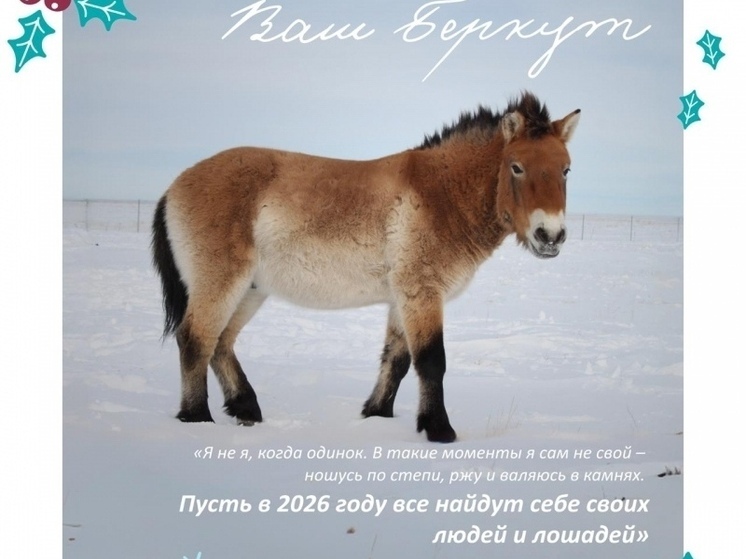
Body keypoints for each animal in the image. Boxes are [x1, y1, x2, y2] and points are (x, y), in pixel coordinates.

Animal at [151, 92, 580, 443]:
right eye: (517, 167)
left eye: (566, 169)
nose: (550, 236)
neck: (442, 194)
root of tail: (174, 186)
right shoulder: (422, 294)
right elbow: (432, 361)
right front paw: (440, 431)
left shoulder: (403, 298)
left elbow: (398, 359)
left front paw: (377, 414)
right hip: (221, 282)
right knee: (197, 339)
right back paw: (197, 418)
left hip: (251, 289)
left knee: (221, 342)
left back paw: (246, 408)